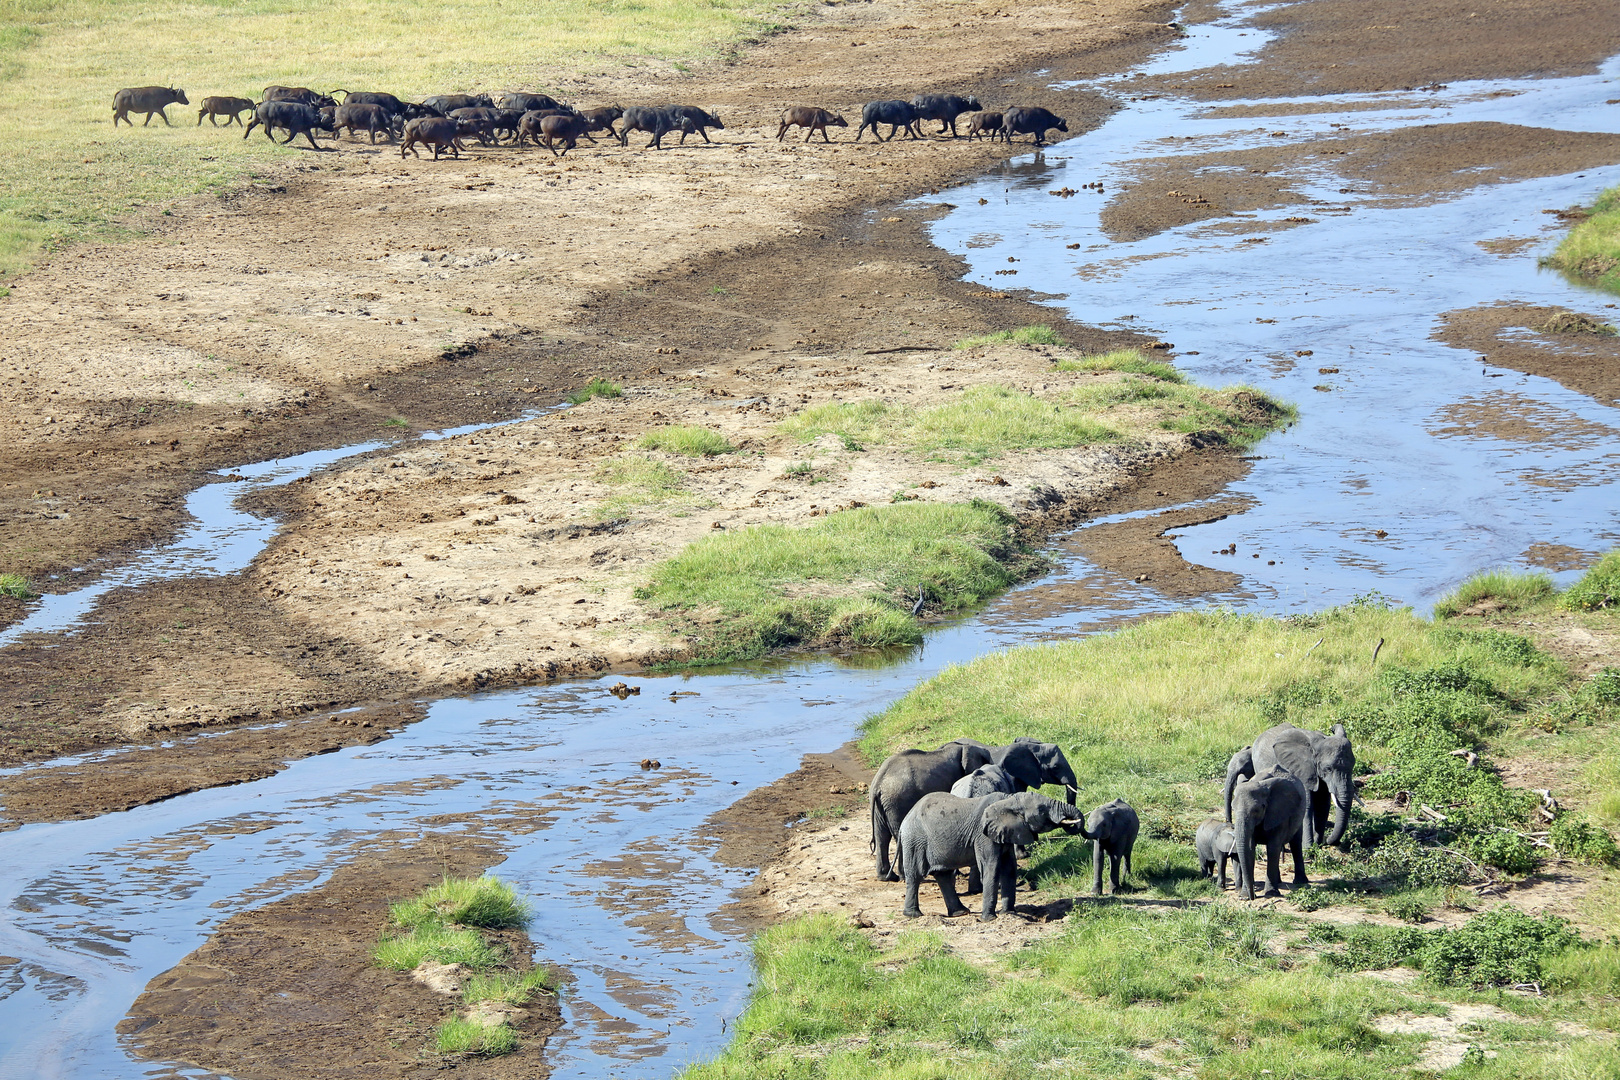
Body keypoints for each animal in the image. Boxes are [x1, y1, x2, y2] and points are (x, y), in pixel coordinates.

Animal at [874, 744, 1036, 887]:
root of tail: (878, 783)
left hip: (885, 803)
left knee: (882, 835)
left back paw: (888, 877)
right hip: (898, 801)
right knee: (896, 835)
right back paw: (902, 877)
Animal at [900, 786, 1088, 919]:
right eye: (1042, 810)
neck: (1008, 800)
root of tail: (905, 819)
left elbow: (1009, 868)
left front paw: (1009, 914)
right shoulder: (983, 836)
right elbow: (992, 867)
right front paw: (989, 919)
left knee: (943, 875)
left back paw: (960, 913)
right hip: (915, 841)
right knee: (915, 875)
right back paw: (914, 915)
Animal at [1224, 722, 1354, 848]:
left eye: (1353, 766)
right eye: (1328, 768)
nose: (1328, 841)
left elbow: (1323, 804)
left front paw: (1318, 845)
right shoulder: (1301, 769)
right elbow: (1307, 804)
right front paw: (1308, 848)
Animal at [1231, 767, 1308, 906]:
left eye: (1256, 810)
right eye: (1233, 809)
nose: (1252, 897)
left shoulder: (1279, 812)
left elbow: (1273, 847)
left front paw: (1271, 894)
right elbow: (1250, 849)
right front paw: (1244, 896)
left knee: (1295, 843)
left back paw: (1300, 882)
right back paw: (1279, 881)